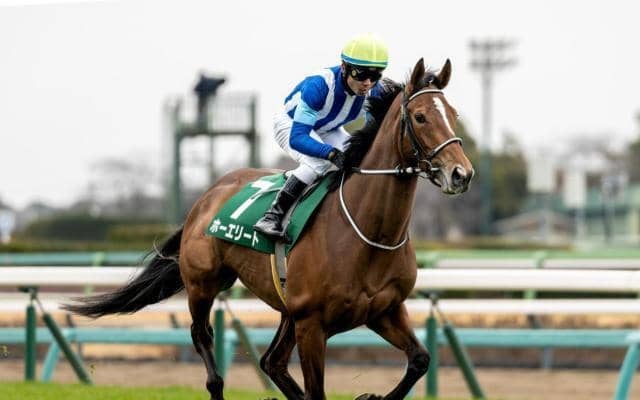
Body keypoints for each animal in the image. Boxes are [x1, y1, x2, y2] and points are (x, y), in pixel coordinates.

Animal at [63, 58, 474, 400]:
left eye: (453, 113)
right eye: (420, 117)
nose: (462, 173)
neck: (369, 236)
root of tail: (208, 194)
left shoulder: (383, 310)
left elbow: (419, 360)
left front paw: (370, 397)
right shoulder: (312, 324)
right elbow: (317, 393)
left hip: (286, 309)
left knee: (271, 362)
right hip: (203, 284)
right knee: (204, 339)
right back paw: (216, 382)